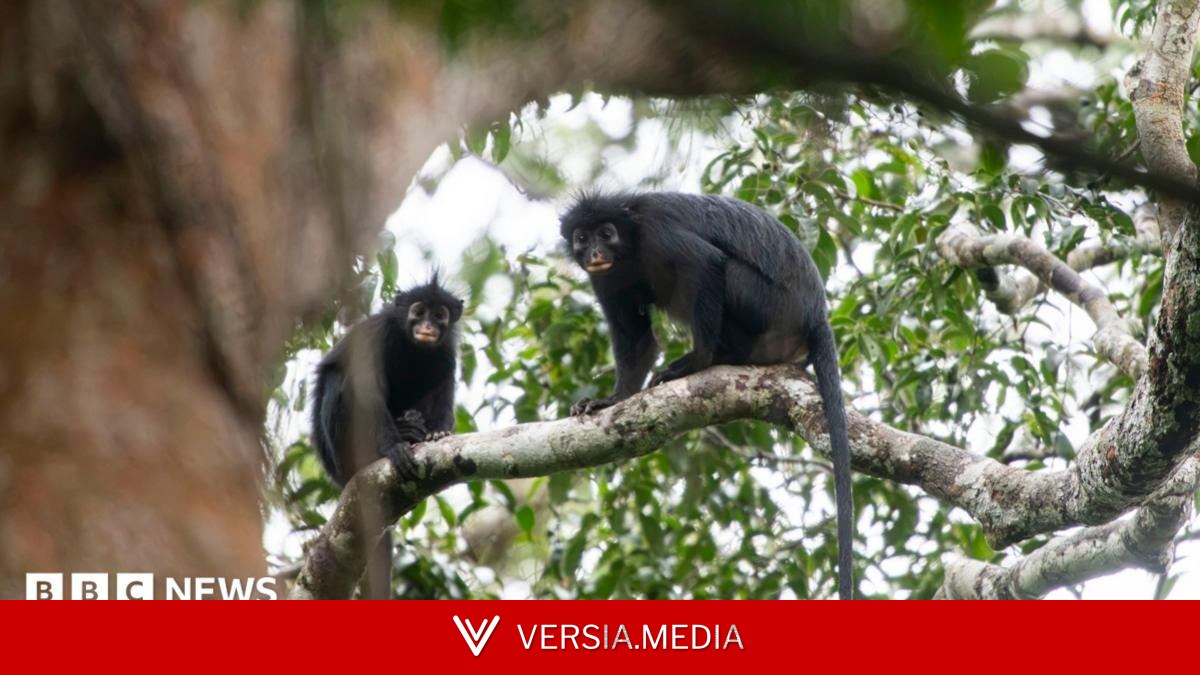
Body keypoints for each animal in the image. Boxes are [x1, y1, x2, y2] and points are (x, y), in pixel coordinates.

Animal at [311, 274, 463, 598]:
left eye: (439, 315)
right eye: (418, 311)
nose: (427, 327)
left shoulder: (446, 352)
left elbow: (444, 385)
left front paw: (438, 432)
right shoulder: (377, 336)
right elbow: (366, 391)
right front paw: (393, 448)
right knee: (338, 380)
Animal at [560, 192, 853, 600]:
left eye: (606, 233)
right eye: (582, 238)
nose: (595, 252)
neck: (630, 244)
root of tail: (815, 315)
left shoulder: (657, 232)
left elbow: (706, 265)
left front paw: (698, 361)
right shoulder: (606, 277)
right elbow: (635, 337)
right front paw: (613, 399)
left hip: (769, 305)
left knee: (726, 271)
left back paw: (718, 357)